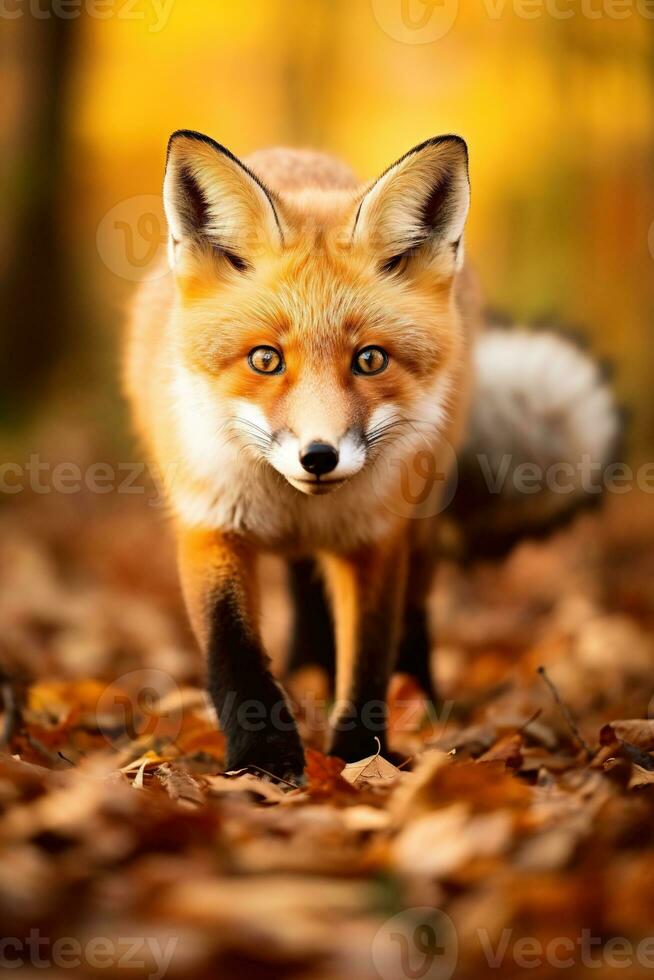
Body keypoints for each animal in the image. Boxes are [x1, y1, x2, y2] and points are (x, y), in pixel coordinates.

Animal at [124, 132, 620, 780]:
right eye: (265, 360)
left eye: (370, 360)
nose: (319, 457)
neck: (298, 506)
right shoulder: (209, 525)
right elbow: (233, 653)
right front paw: (263, 758)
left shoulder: (376, 537)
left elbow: (368, 660)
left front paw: (361, 757)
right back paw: (308, 671)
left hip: (425, 513)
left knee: (412, 615)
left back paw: (421, 701)